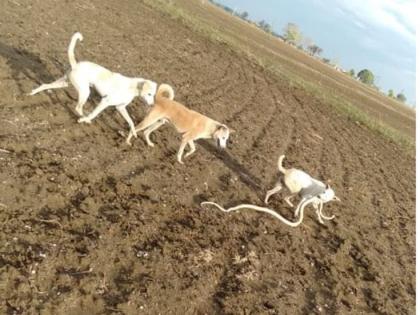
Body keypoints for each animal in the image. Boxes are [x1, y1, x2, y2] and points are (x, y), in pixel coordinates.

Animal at [28, 31, 158, 138]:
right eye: (149, 94)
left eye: (153, 95)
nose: (152, 105)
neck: (131, 87)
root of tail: (76, 65)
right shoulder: (105, 102)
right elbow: (94, 114)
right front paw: (85, 120)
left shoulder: (120, 108)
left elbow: (131, 121)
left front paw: (134, 133)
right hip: (85, 91)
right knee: (78, 108)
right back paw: (84, 119)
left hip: (64, 83)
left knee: (45, 85)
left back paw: (32, 93)